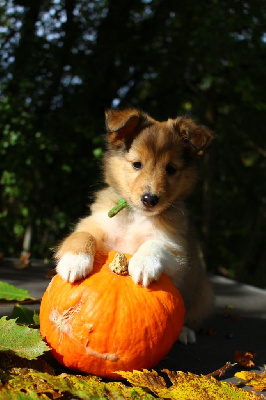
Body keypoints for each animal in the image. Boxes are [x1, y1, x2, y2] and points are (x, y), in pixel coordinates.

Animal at [55, 108, 214, 342]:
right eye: (137, 164)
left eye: (171, 169)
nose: (150, 199)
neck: (136, 216)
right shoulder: (96, 224)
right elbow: (83, 236)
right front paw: (74, 261)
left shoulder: (177, 252)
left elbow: (155, 244)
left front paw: (144, 264)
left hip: (203, 294)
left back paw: (184, 332)